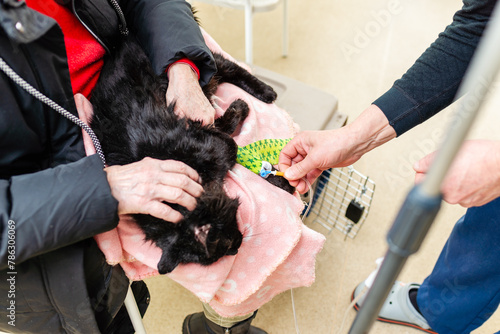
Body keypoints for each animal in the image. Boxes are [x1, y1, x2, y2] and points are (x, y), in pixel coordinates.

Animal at [91, 37, 290, 276]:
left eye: (226, 243)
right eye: (226, 249)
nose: (237, 247)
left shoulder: (215, 145)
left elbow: (225, 132)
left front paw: (239, 107)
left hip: (203, 67)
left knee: (229, 66)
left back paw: (266, 92)